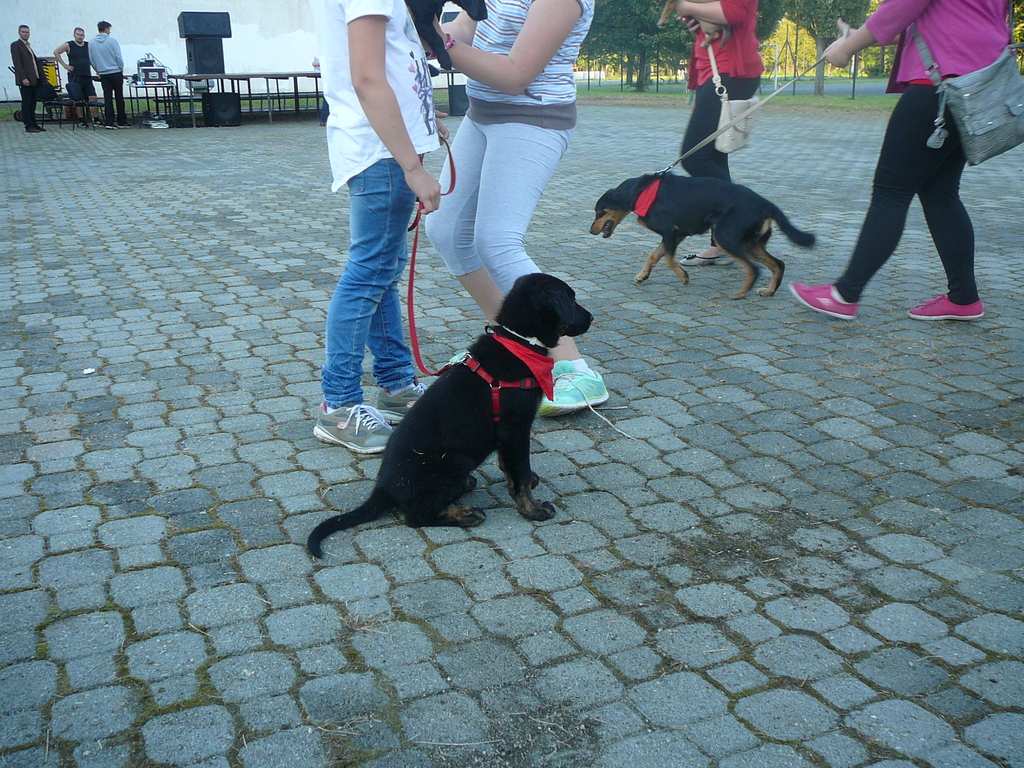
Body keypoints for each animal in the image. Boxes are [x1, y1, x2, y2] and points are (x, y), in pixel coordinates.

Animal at [307, 273, 593, 558]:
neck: (520, 341)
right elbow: (519, 475)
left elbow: (512, 467)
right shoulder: (515, 428)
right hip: (455, 461)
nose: (590, 317)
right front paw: (533, 510)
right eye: (571, 300)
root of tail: (383, 488)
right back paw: (465, 514)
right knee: (415, 516)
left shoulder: (507, 434)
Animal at [591, 173, 815, 299]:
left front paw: (683, 276)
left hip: (725, 237)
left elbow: (668, 259)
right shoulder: (675, 235)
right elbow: (654, 256)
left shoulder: (671, 232)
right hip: (750, 244)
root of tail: (765, 204)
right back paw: (769, 291)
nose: (591, 230)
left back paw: (741, 294)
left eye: (600, 212)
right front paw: (642, 275)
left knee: (754, 269)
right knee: (778, 265)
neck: (639, 192)